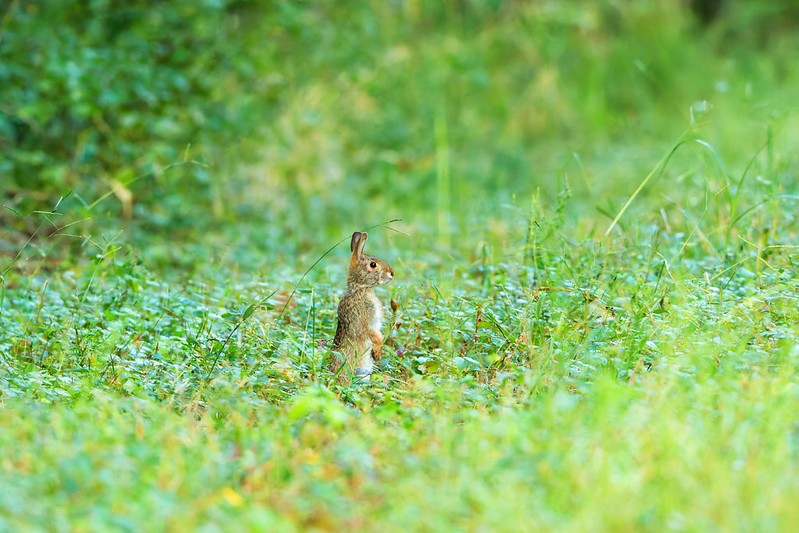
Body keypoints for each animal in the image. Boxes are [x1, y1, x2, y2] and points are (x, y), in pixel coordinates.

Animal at [331, 231, 394, 382]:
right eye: (373, 265)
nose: (392, 273)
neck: (361, 289)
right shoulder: (364, 322)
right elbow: (375, 336)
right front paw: (378, 353)